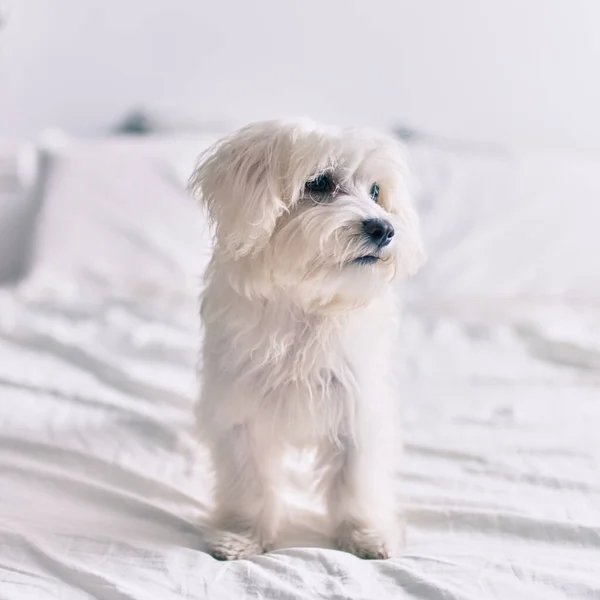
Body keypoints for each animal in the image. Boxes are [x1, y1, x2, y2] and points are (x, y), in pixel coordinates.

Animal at [190, 119, 424, 560]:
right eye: (318, 183)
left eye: (375, 192)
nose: (384, 228)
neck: (308, 304)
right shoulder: (240, 412)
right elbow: (248, 483)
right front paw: (241, 536)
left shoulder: (355, 405)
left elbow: (356, 481)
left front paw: (365, 535)